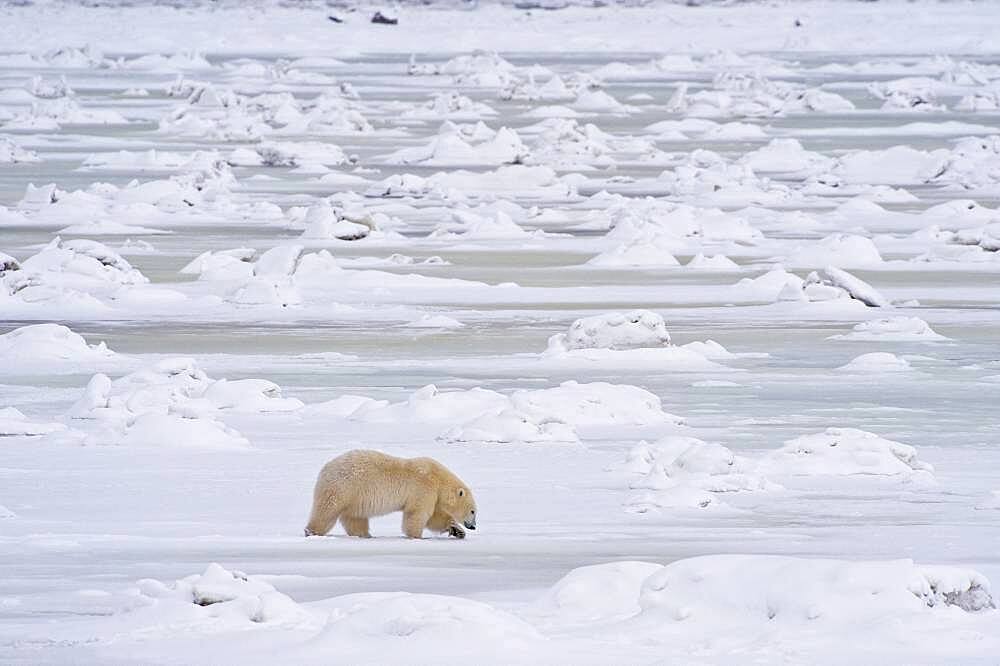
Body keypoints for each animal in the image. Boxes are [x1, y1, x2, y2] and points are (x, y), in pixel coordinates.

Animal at [302, 448, 478, 536]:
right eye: (472, 511)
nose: (473, 527)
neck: (439, 479)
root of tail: (325, 468)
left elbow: (435, 517)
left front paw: (456, 530)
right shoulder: (424, 488)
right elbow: (418, 514)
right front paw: (416, 535)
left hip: (355, 497)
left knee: (355, 517)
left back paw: (365, 535)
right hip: (343, 487)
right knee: (327, 511)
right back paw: (311, 531)